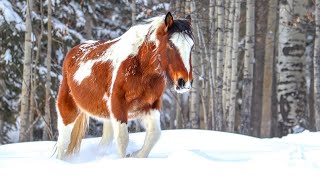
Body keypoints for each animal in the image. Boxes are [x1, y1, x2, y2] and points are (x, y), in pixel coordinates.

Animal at [56, 12, 194, 159]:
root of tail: (72, 52)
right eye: (171, 44)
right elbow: (123, 139)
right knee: (62, 143)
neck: (140, 67)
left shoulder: (151, 106)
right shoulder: (118, 106)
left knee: (104, 142)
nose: (184, 82)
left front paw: (135, 155)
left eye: (192, 46)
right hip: (67, 111)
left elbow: (154, 135)